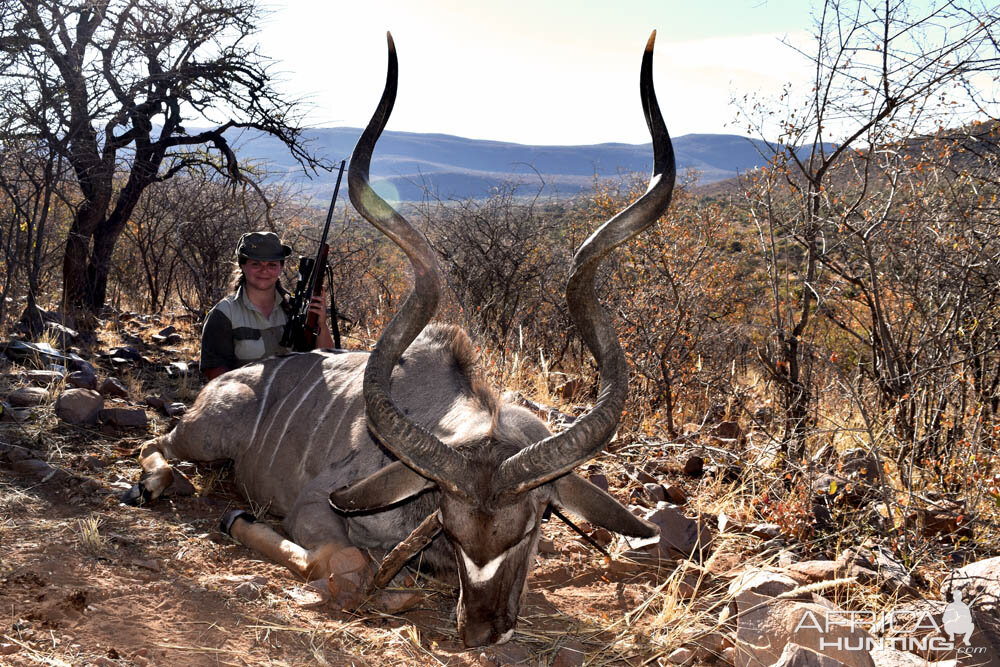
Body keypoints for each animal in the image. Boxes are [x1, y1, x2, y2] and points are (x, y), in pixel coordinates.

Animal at [121, 30, 676, 648]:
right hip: (204, 437)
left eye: (533, 525)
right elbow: (344, 563)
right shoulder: (316, 507)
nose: (482, 630)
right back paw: (157, 485)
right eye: (450, 526)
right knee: (157, 444)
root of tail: (227, 383)